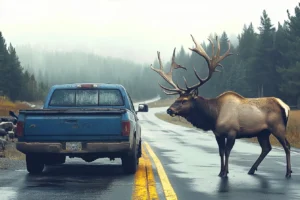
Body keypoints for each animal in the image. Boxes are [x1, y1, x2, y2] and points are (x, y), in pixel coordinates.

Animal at [151, 34, 292, 178]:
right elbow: (221, 152)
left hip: (278, 127)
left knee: (287, 146)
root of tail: (285, 106)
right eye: (177, 98)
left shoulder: (232, 132)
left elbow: (228, 151)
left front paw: (225, 172)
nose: (169, 110)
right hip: (263, 132)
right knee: (266, 148)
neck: (213, 116)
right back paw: (252, 169)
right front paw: (221, 171)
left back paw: (288, 172)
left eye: (184, 100)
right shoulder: (218, 133)